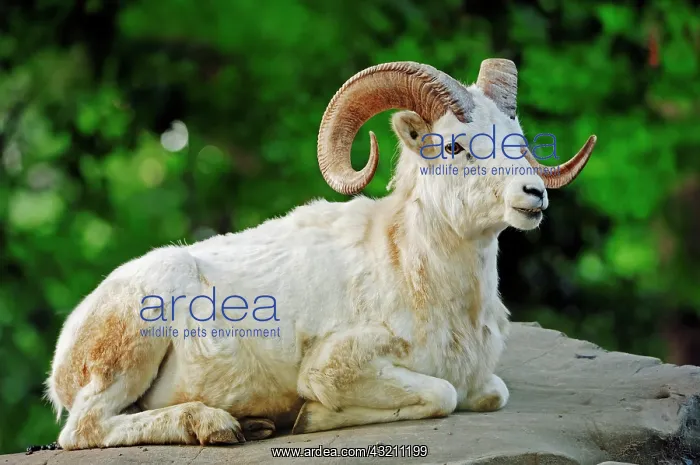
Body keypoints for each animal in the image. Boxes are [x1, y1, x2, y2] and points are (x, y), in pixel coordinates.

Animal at [45, 58, 597, 450]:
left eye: (518, 141)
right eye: (455, 147)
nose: (533, 195)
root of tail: (63, 360)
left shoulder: (486, 383)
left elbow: (491, 393)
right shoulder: (339, 367)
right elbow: (443, 394)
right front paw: (312, 417)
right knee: (83, 430)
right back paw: (219, 425)